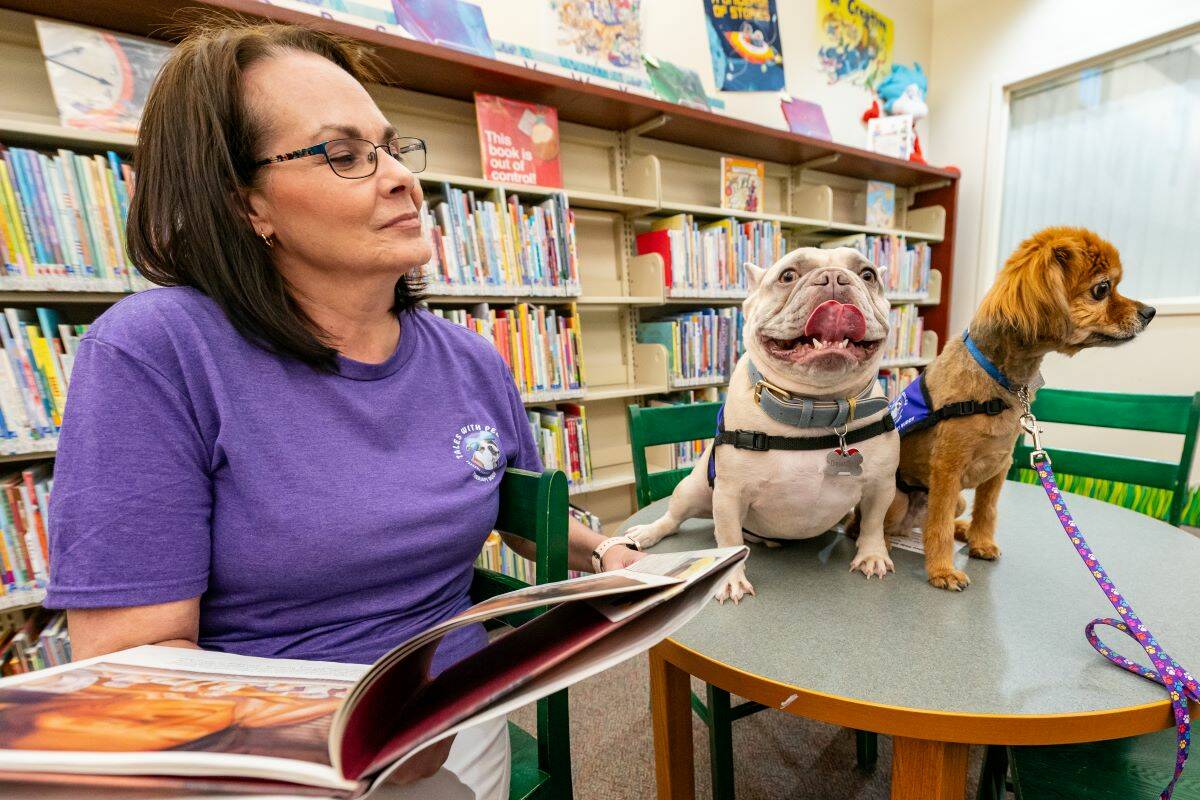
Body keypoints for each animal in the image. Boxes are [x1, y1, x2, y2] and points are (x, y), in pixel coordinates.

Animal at [892, 227, 1152, 592]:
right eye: (1102, 289)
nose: (1150, 312)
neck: (999, 379)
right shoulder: (947, 469)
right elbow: (938, 525)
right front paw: (942, 570)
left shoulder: (999, 465)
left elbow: (987, 510)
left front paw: (981, 542)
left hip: (959, 497)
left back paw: (963, 530)